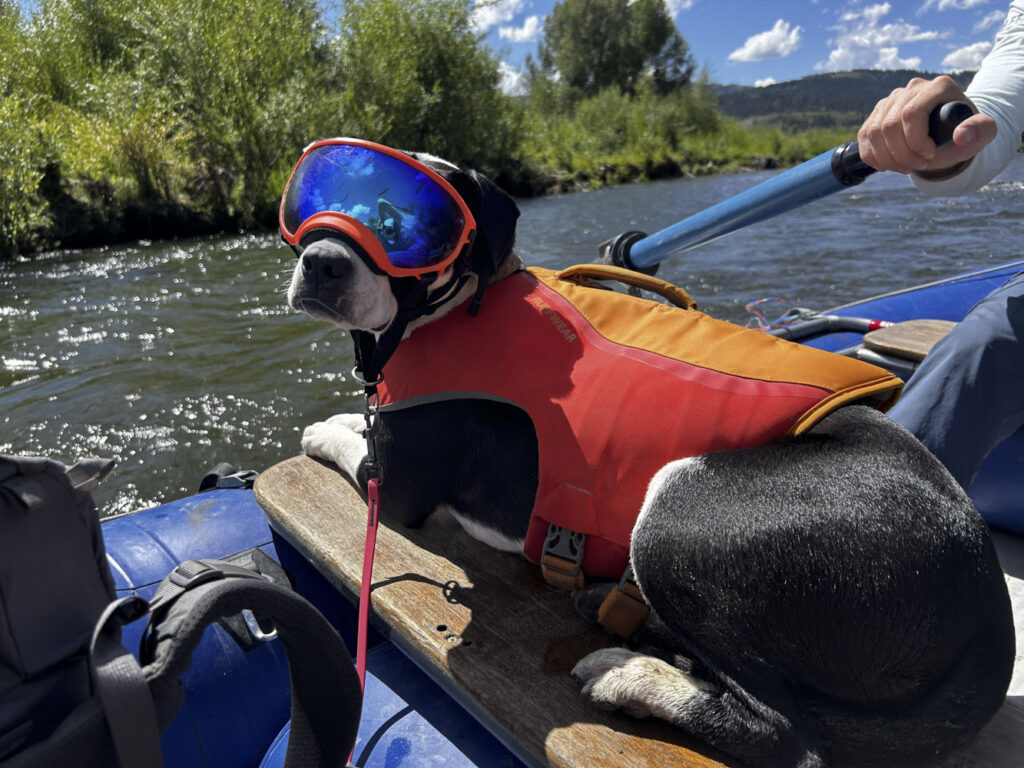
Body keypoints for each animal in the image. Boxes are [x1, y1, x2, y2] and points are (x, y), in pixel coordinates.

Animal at [282, 138, 1015, 768]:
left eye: (402, 223)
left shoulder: (399, 488)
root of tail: (988, 621)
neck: (459, 305)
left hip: (679, 506)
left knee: (785, 734)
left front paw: (317, 432)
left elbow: (345, 441)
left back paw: (631, 676)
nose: (321, 261)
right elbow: (357, 420)